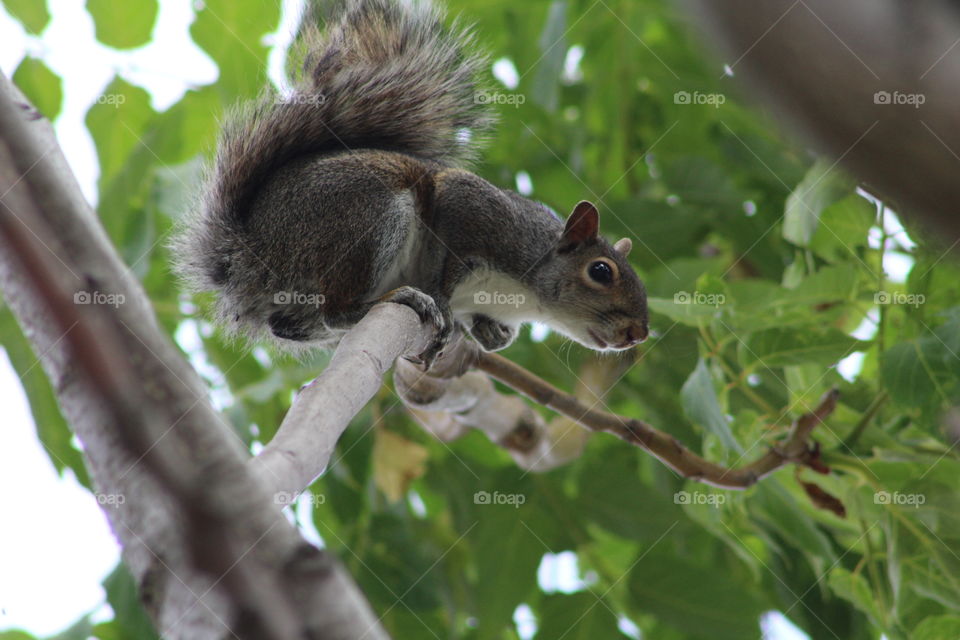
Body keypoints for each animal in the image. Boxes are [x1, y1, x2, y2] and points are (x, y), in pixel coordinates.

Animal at [174, 0, 648, 367]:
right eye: (600, 271)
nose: (638, 333)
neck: (524, 292)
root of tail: (247, 250)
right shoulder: (476, 212)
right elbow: (446, 255)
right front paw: (442, 303)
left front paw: (491, 333)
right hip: (364, 219)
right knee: (335, 310)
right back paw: (396, 300)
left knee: (288, 326)